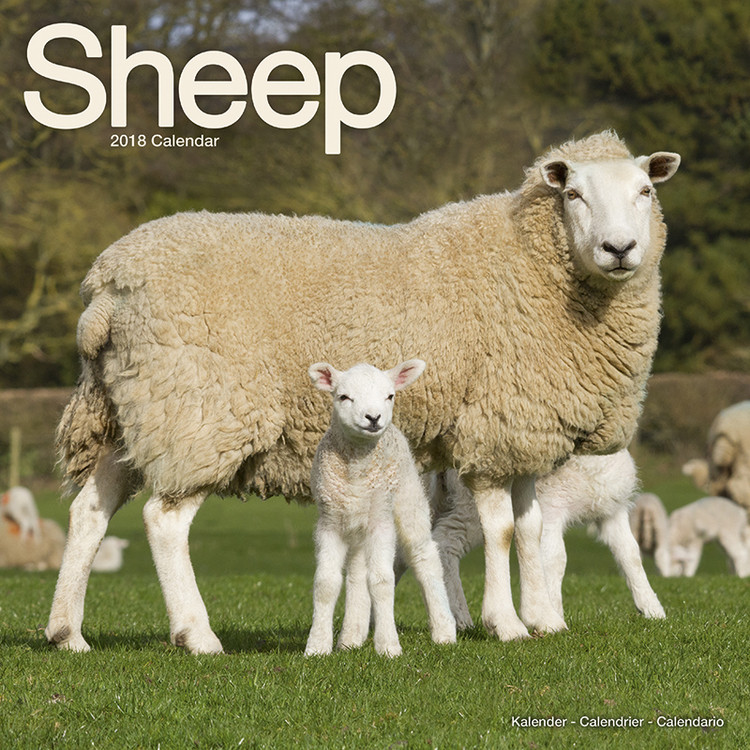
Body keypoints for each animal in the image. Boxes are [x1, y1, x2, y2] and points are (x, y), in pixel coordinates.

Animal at [305, 359, 455, 657]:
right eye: (344, 396)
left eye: (390, 396)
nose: (373, 418)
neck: (356, 471)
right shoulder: (329, 522)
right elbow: (326, 583)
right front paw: (317, 646)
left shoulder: (381, 522)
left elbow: (382, 582)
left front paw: (388, 646)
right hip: (359, 523)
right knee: (357, 574)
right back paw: (350, 638)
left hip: (407, 499)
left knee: (425, 557)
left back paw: (444, 631)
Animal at [423, 450, 665, 627]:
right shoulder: (550, 510)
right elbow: (556, 559)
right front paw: (554, 612)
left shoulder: (612, 512)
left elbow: (630, 555)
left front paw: (652, 609)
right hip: (471, 505)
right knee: (446, 541)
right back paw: (460, 616)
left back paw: (457, 618)